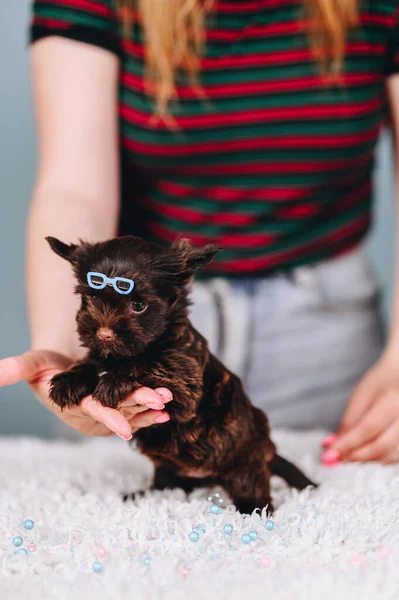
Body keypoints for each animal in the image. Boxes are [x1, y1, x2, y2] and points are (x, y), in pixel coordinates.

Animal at [46, 234, 316, 510]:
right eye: (89, 299)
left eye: (139, 305)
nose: (104, 334)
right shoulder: (101, 354)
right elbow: (91, 363)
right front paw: (68, 382)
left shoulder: (185, 383)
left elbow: (148, 365)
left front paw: (113, 382)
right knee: (166, 486)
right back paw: (139, 495)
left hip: (244, 467)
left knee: (254, 492)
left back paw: (253, 510)